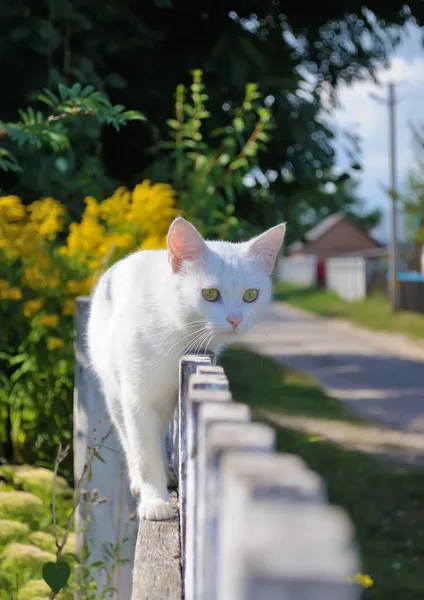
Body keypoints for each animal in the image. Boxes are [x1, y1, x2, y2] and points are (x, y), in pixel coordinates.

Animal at [86, 217, 284, 520]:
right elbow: (144, 452)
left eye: (251, 295)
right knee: (128, 435)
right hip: (113, 389)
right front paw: (155, 500)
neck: (180, 333)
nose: (236, 319)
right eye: (210, 294)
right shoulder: (137, 398)